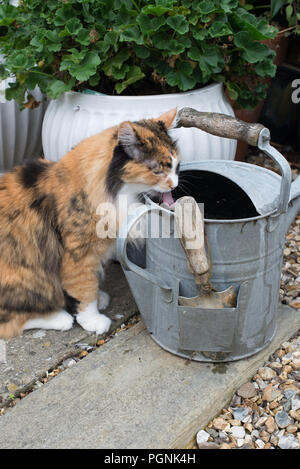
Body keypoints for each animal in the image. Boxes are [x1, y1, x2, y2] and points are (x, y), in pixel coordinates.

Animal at [0, 108, 179, 338]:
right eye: (157, 170)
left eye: (176, 167)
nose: (175, 184)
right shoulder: (78, 254)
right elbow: (84, 289)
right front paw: (93, 320)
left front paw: (98, 298)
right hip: (27, 275)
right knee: (14, 320)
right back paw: (60, 317)